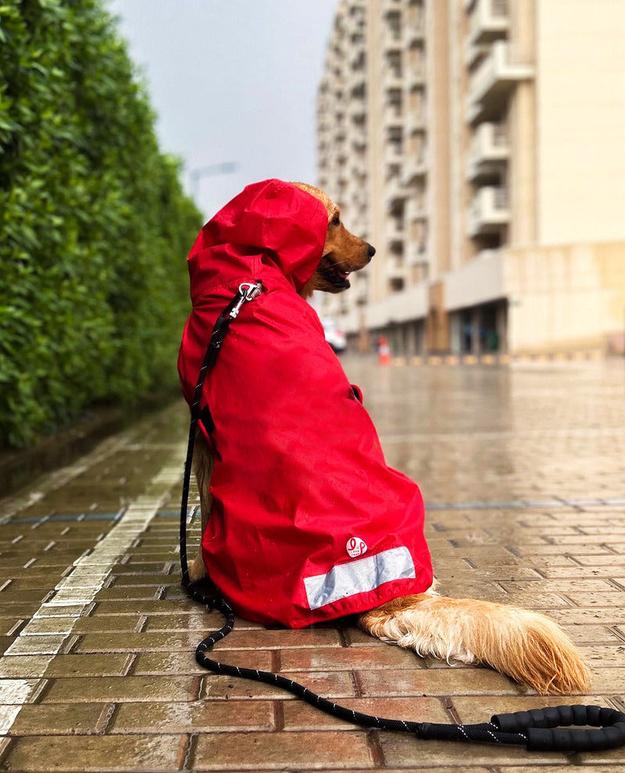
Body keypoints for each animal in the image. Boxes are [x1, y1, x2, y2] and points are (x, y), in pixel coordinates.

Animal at [185, 181, 588, 692]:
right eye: (335, 220)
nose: (375, 250)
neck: (248, 279)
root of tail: (394, 596)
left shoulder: (202, 436)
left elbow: (200, 517)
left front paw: (198, 573)